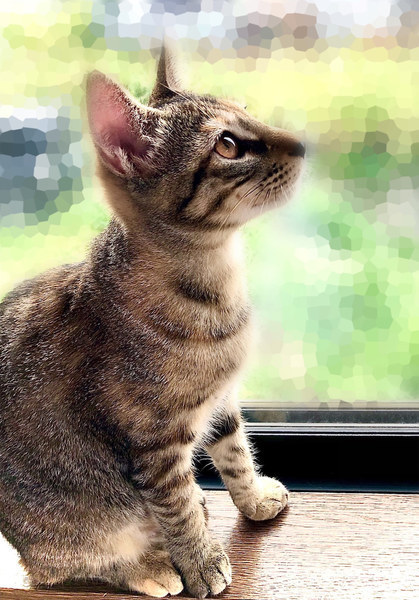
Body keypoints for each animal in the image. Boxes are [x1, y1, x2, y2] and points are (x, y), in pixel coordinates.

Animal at [0, 48, 305, 599]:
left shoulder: (221, 399)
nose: (303, 144)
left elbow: (234, 453)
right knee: (57, 566)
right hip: (70, 529)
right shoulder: (154, 444)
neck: (218, 287)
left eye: (248, 113)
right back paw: (149, 566)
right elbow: (177, 508)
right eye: (227, 145)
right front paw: (201, 561)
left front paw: (251, 499)